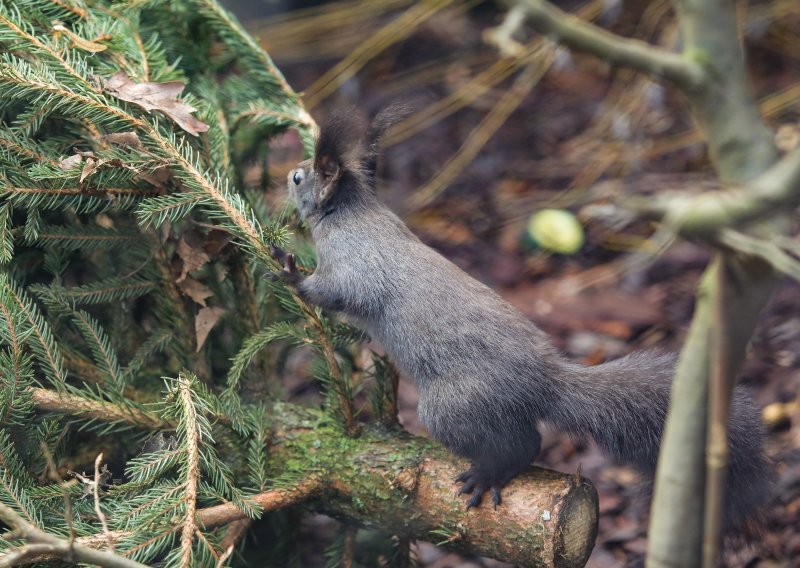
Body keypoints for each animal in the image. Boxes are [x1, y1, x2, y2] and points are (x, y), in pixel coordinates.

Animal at [274, 107, 768, 532]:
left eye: (300, 177)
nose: (285, 174)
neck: (354, 214)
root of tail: (544, 384)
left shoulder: (356, 267)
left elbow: (336, 291)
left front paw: (288, 270)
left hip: (451, 407)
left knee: (523, 444)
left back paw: (488, 475)